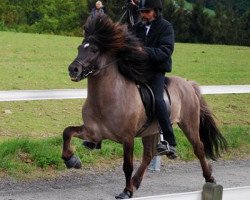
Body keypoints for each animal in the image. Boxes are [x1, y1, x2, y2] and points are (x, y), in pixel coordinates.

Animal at [61, 14, 228, 199]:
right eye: (79, 48)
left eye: (94, 50)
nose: (73, 69)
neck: (106, 99)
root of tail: (188, 84)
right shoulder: (93, 132)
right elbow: (67, 132)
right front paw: (71, 160)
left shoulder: (127, 138)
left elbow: (127, 165)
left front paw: (126, 191)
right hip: (151, 131)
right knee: (148, 155)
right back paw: (136, 183)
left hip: (189, 124)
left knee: (199, 148)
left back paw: (209, 177)